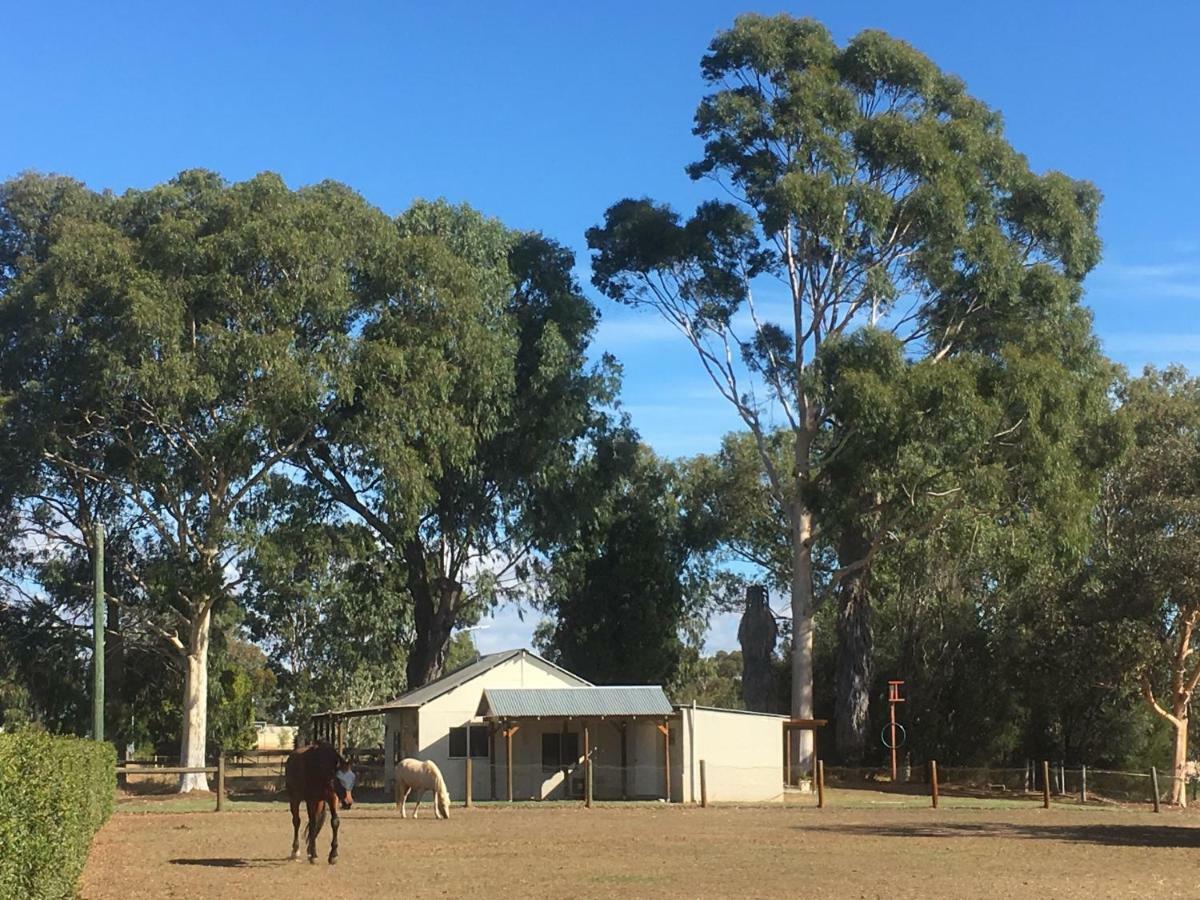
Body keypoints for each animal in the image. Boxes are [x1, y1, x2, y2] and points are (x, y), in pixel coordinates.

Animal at [285, 739, 350, 868]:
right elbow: (312, 823)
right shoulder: (311, 800)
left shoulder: (332, 799)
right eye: (339, 779)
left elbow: (334, 822)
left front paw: (333, 855)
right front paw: (314, 855)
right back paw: (296, 851)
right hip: (294, 799)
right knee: (297, 821)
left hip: (319, 803)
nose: (348, 802)